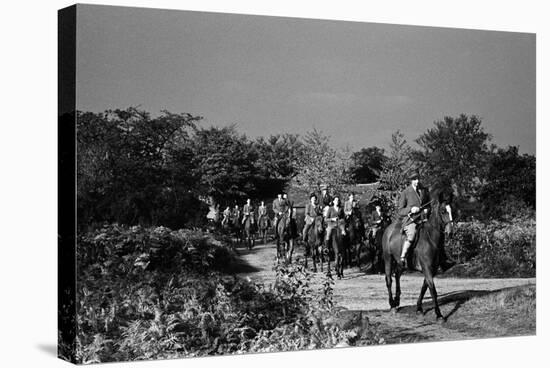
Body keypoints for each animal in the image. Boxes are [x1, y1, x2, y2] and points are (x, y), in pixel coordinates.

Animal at [384, 188, 458, 320]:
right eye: (443, 211)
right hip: (388, 258)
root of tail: (389, 229)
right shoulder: (427, 267)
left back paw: (397, 301)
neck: (431, 239)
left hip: (401, 263)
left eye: (452, 211)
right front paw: (439, 314)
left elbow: (424, 287)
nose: (450, 232)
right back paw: (392, 304)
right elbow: (432, 289)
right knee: (389, 280)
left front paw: (419, 308)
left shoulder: (432, 269)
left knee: (397, 276)